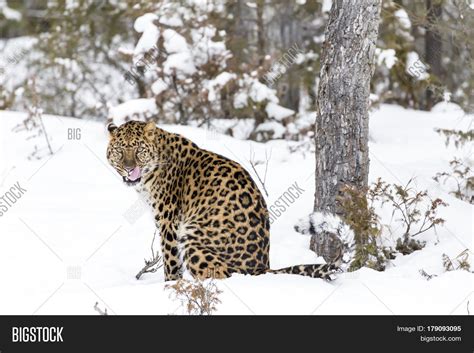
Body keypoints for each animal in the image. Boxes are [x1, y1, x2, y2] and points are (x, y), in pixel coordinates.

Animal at [106, 121, 336, 280]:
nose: (129, 168)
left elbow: (170, 261)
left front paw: (170, 285)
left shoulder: (168, 222)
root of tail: (261, 268)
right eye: (119, 151)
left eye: (139, 150)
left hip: (192, 239)